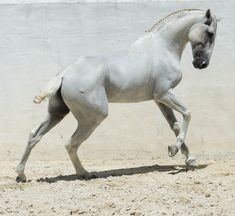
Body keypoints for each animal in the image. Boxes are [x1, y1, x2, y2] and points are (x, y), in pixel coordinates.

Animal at [16, 8, 218, 182]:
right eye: (210, 33)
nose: (202, 64)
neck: (162, 49)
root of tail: (64, 74)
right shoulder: (164, 93)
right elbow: (188, 114)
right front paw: (174, 149)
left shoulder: (159, 99)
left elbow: (175, 125)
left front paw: (189, 159)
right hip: (93, 117)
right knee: (70, 143)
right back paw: (84, 173)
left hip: (58, 113)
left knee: (34, 135)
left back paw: (21, 175)